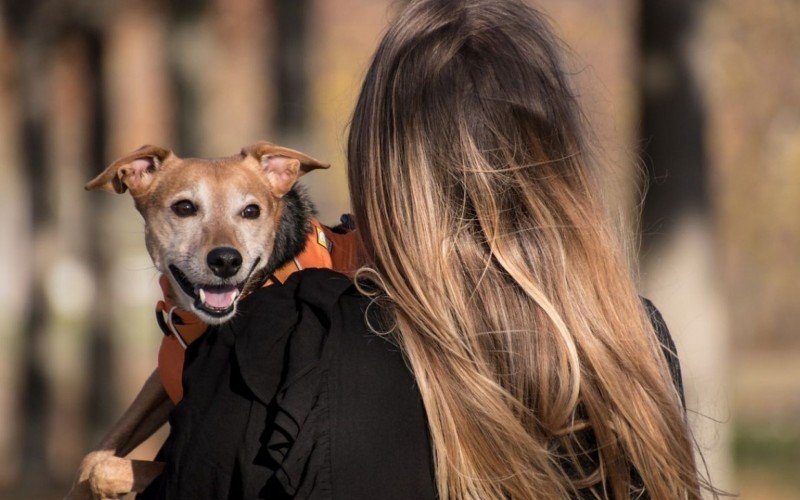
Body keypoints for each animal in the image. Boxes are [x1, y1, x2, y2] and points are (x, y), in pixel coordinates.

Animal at [65, 142, 332, 500]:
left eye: (251, 211)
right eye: (184, 207)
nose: (226, 260)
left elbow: (106, 470)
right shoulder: (161, 380)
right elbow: (93, 459)